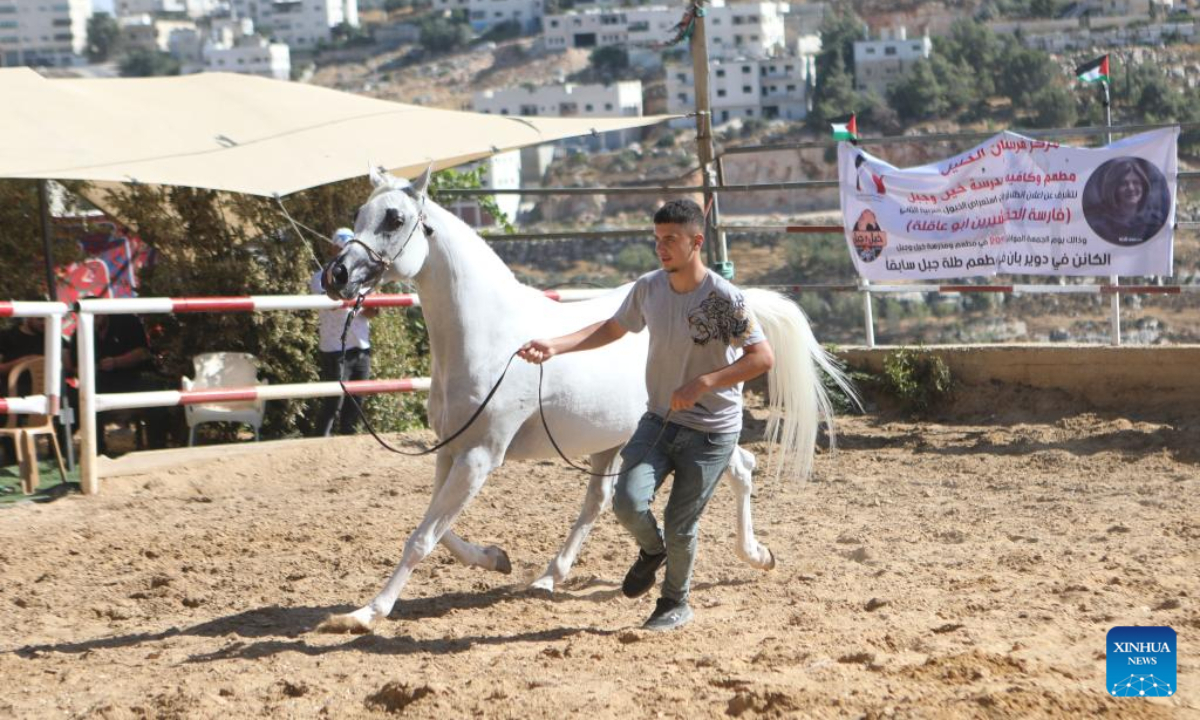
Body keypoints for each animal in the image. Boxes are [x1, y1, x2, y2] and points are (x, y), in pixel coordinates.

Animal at [316, 166, 854, 633]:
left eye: (394, 218)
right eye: (362, 214)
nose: (336, 276)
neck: (494, 338)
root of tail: (739, 312)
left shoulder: (479, 456)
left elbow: (422, 537)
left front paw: (365, 614)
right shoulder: (451, 452)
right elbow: (438, 530)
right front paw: (496, 559)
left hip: (698, 430)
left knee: (740, 468)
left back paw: (756, 556)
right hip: (612, 443)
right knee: (601, 503)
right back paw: (550, 576)